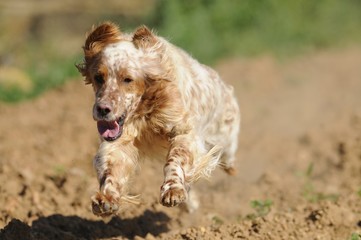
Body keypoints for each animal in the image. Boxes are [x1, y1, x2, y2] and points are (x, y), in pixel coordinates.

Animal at [76, 23, 239, 218]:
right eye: (98, 77)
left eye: (128, 79)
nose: (102, 109)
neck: (146, 111)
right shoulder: (118, 143)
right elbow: (110, 169)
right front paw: (106, 198)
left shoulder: (184, 132)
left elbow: (175, 160)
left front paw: (172, 190)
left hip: (225, 134)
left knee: (228, 155)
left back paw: (229, 168)